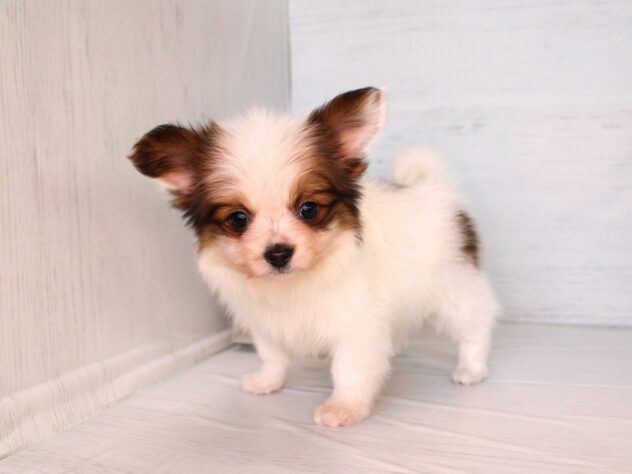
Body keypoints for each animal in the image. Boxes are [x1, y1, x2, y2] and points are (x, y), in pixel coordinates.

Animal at [128, 87, 499, 427]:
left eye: (308, 209)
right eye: (238, 219)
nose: (278, 253)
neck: (294, 283)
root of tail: (439, 190)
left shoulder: (355, 325)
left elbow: (350, 370)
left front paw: (344, 408)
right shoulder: (266, 323)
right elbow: (273, 356)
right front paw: (267, 381)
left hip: (454, 289)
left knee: (475, 325)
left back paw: (471, 369)